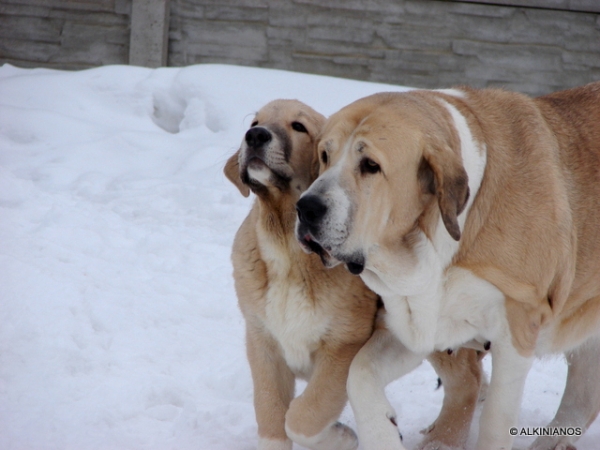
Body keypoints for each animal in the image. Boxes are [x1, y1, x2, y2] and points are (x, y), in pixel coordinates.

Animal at [227, 99, 486, 450]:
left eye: (299, 126)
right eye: (255, 122)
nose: (254, 135)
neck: (287, 251)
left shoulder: (343, 346)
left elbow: (303, 416)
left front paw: (341, 436)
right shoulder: (262, 342)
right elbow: (271, 418)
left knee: (467, 380)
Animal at [298, 81, 600, 450]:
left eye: (370, 165)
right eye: (324, 156)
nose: (306, 207)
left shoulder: (517, 327)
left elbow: (495, 421)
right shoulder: (415, 322)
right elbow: (359, 373)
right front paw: (381, 433)